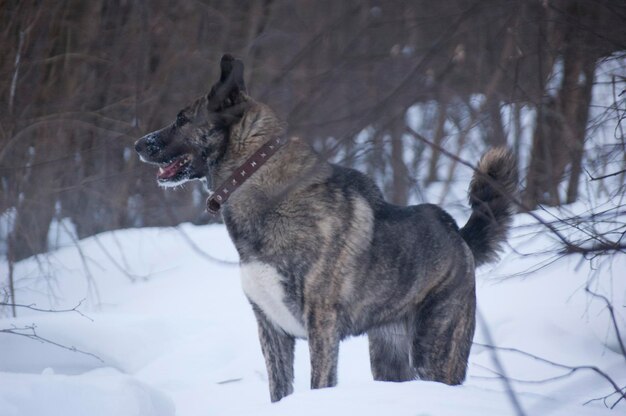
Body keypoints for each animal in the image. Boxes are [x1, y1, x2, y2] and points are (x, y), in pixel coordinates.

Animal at [134, 53, 516, 402]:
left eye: (182, 119)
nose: (138, 144)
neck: (259, 180)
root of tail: (458, 235)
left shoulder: (321, 325)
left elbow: (319, 383)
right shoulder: (272, 329)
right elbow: (279, 390)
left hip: (434, 348)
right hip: (388, 355)